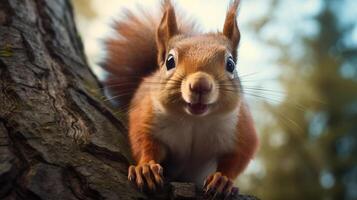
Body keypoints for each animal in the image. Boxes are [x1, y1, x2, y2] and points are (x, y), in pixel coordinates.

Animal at [101, 0, 258, 197]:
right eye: (170, 61)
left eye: (230, 64)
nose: (200, 85)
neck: (194, 120)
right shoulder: (147, 116)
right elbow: (144, 142)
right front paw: (146, 169)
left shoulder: (241, 128)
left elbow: (238, 156)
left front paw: (222, 179)